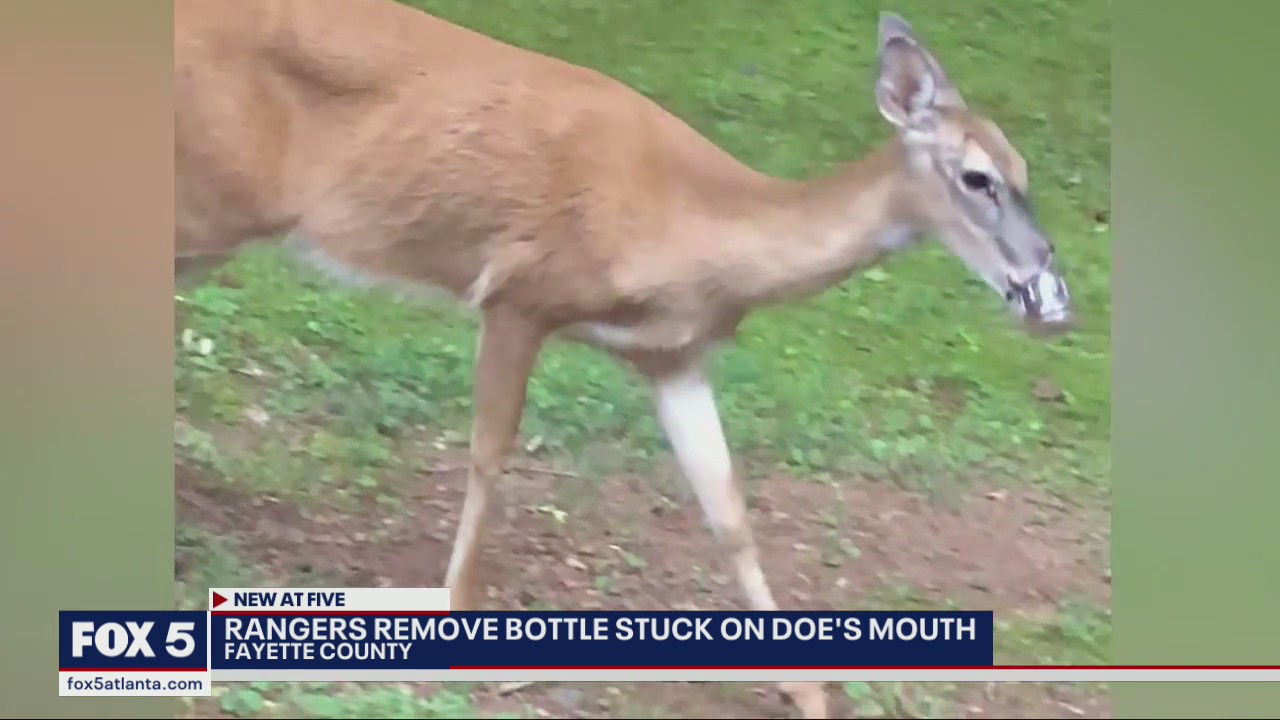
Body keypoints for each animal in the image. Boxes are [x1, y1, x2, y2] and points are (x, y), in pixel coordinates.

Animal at [175, 0, 1073, 716]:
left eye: (1026, 169)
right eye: (978, 178)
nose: (1049, 289)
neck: (688, 223)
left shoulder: (673, 356)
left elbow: (728, 509)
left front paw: (808, 690)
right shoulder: (521, 292)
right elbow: (489, 453)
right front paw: (455, 610)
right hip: (207, 204)